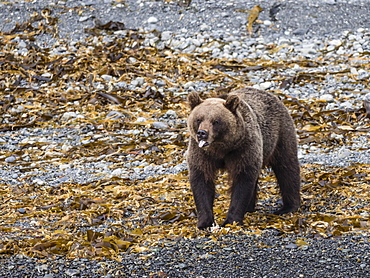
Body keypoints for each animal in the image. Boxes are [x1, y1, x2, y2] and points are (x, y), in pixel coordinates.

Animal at [188, 88, 300, 229]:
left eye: (216, 121)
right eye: (198, 119)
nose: (202, 133)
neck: (221, 149)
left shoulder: (243, 149)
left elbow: (243, 181)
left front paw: (231, 221)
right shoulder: (201, 154)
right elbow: (201, 180)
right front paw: (205, 222)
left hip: (280, 134)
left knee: (287, 168)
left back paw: (288, 207)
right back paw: (249, 208)